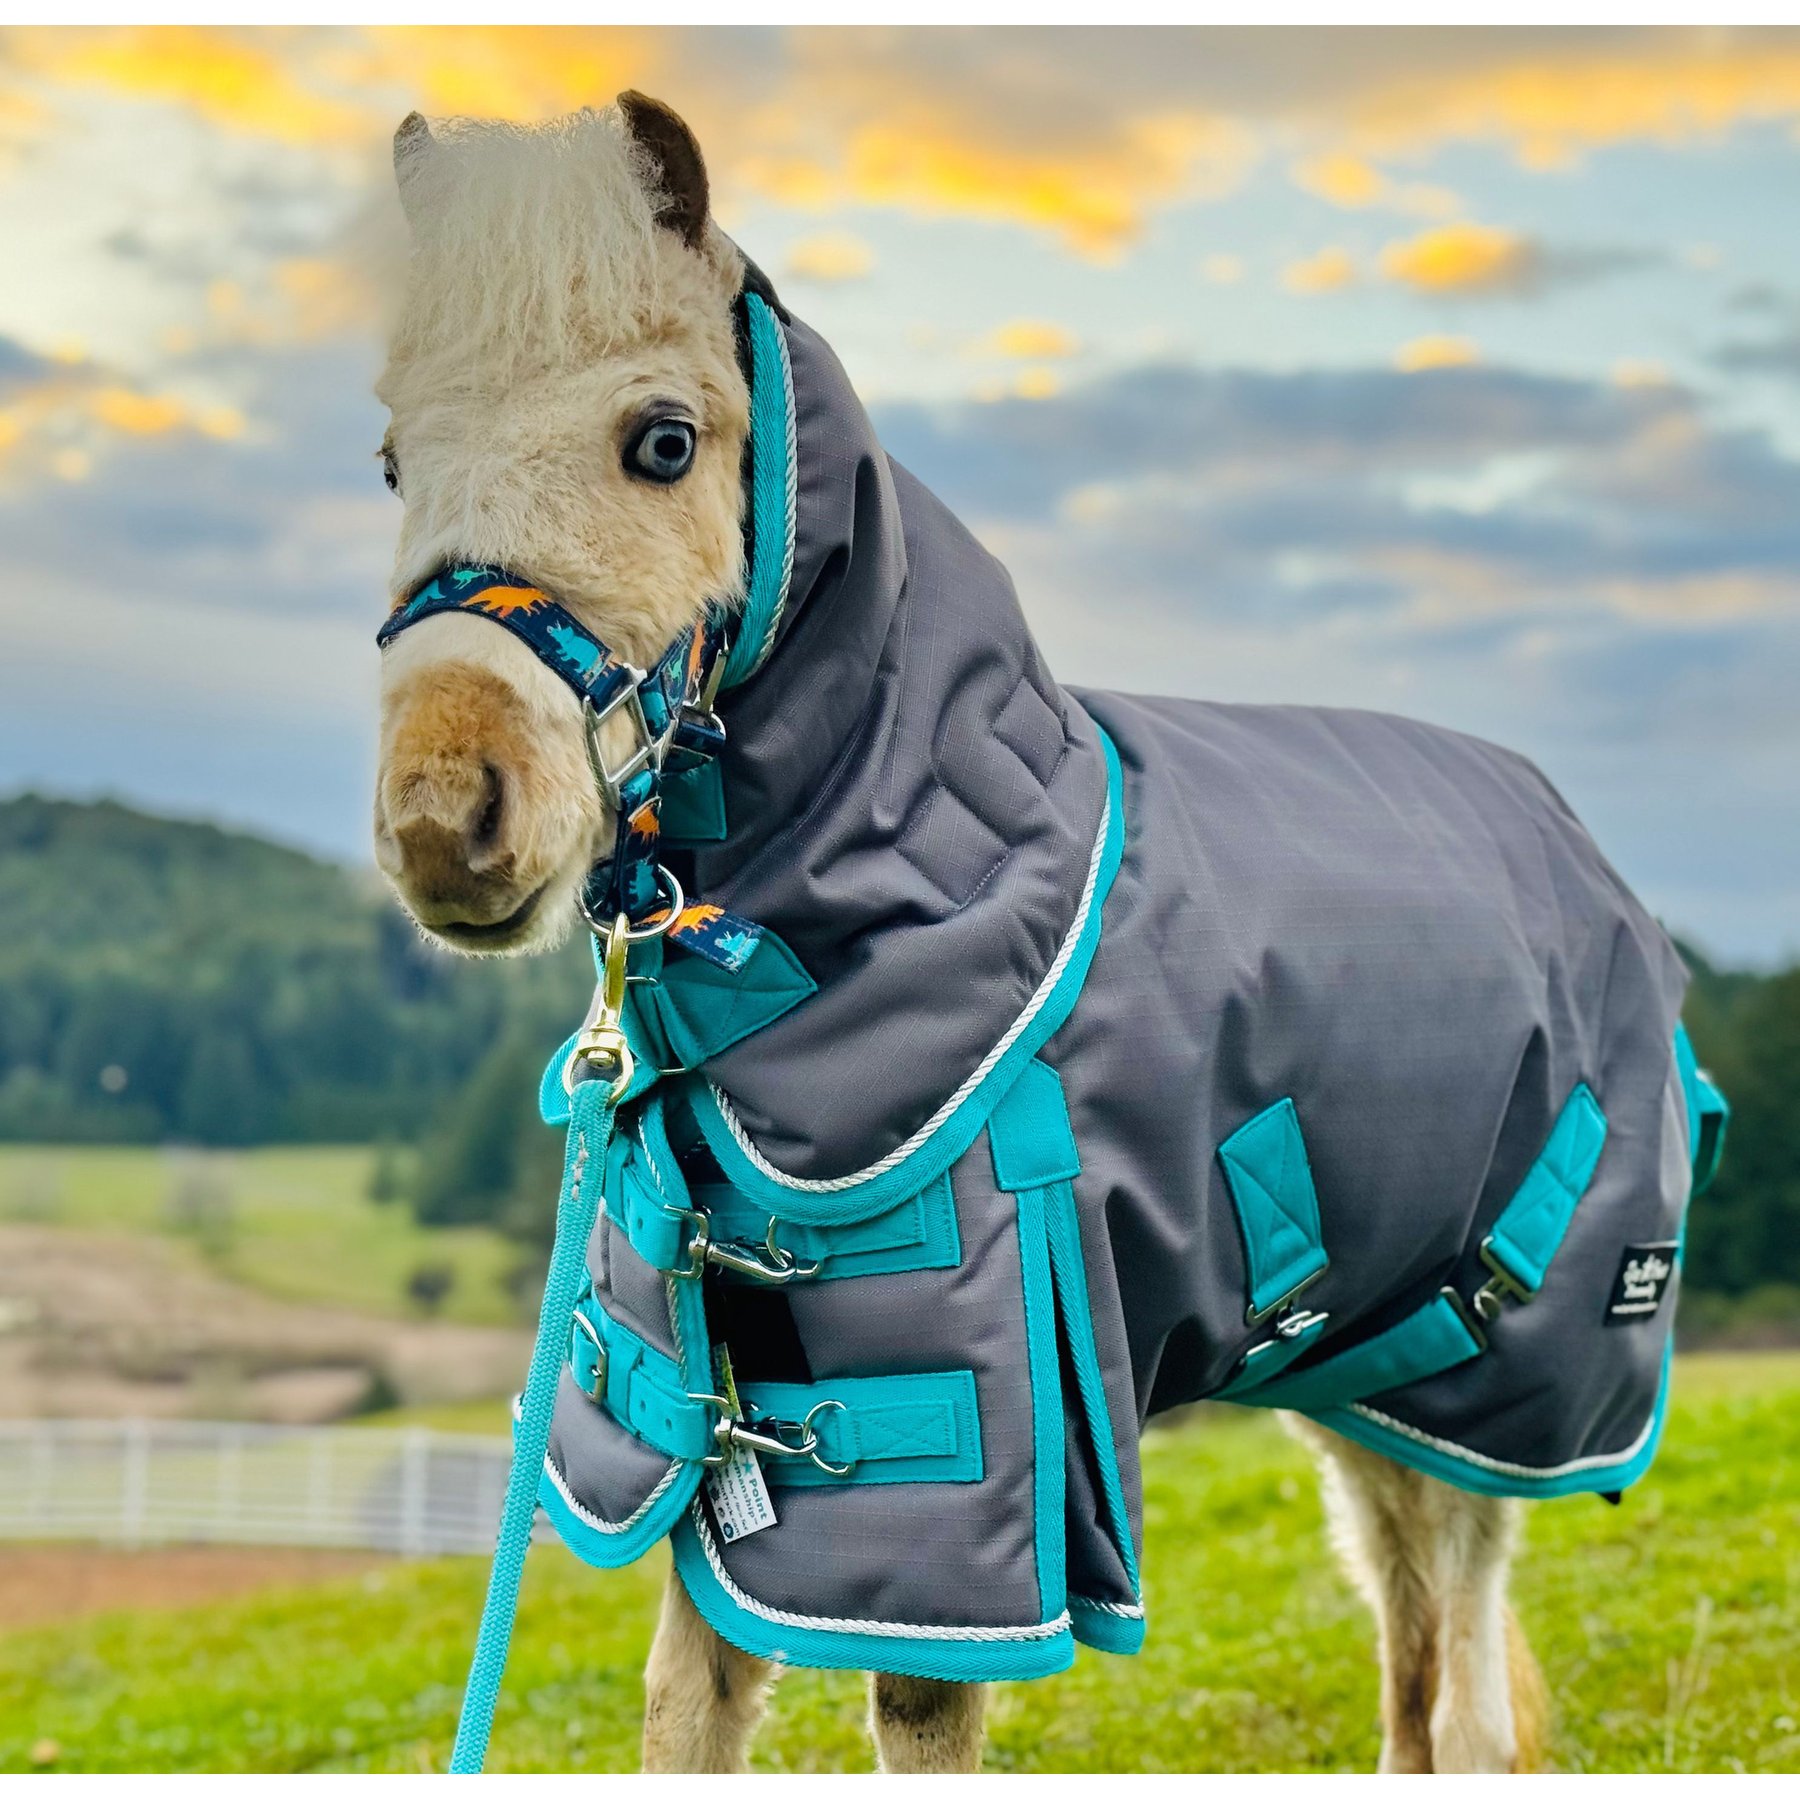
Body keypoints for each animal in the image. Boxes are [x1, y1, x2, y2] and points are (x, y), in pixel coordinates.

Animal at [370, 94, 1717, 1774]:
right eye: (391, 459)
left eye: (663, 440)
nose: (446, 815)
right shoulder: (706, 1416)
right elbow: (689, 1703)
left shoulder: (962, 1469)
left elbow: (918, 1703)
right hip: (1366, 1363)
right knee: (1406, 1623)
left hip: (1513, 1379)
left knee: (1464, 1669)